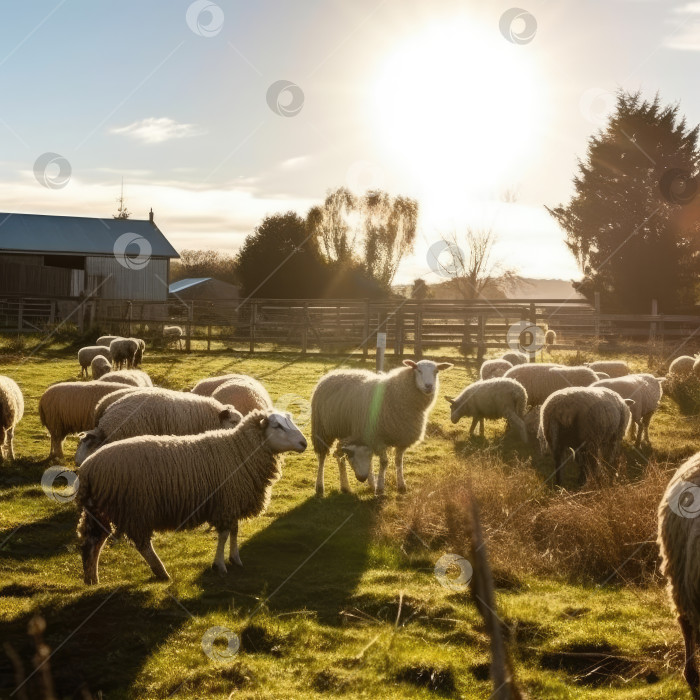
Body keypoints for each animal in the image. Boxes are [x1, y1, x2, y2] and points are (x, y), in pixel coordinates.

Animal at [76, 408, 306, 584]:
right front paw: (220, 565)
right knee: (142, 544)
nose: (304, 443)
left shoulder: (232, 502)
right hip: (135, 508)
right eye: (277, 426)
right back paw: (161, 572)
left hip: (100, 509)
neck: (239, 450)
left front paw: (235, 559)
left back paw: (91, 579)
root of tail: (87, 468)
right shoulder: (225, 502)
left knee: (93, 541)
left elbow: (234, 531)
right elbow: (224, 534)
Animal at [312, 360, 454, 498]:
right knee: (322, 457)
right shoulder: (377, 438)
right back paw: (320, 486)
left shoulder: (401, 438)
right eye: (418, 370)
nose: (429, 386)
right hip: (322, 429)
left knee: (341, 454)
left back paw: (348, 486)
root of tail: (333, 373)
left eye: (436, 371)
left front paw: (401, 486)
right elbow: (384, 462)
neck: (397, 394)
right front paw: (380, 489)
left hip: (348, 430)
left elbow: (398, 461)